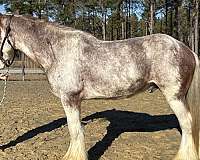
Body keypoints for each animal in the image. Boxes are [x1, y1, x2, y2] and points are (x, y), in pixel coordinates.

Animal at [0, 14, 199, 159]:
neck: (57, 50)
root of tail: (186, 49)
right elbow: (76, 130)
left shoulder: (70, 99)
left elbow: (75, 130)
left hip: (175, 97)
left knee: (187, 124)